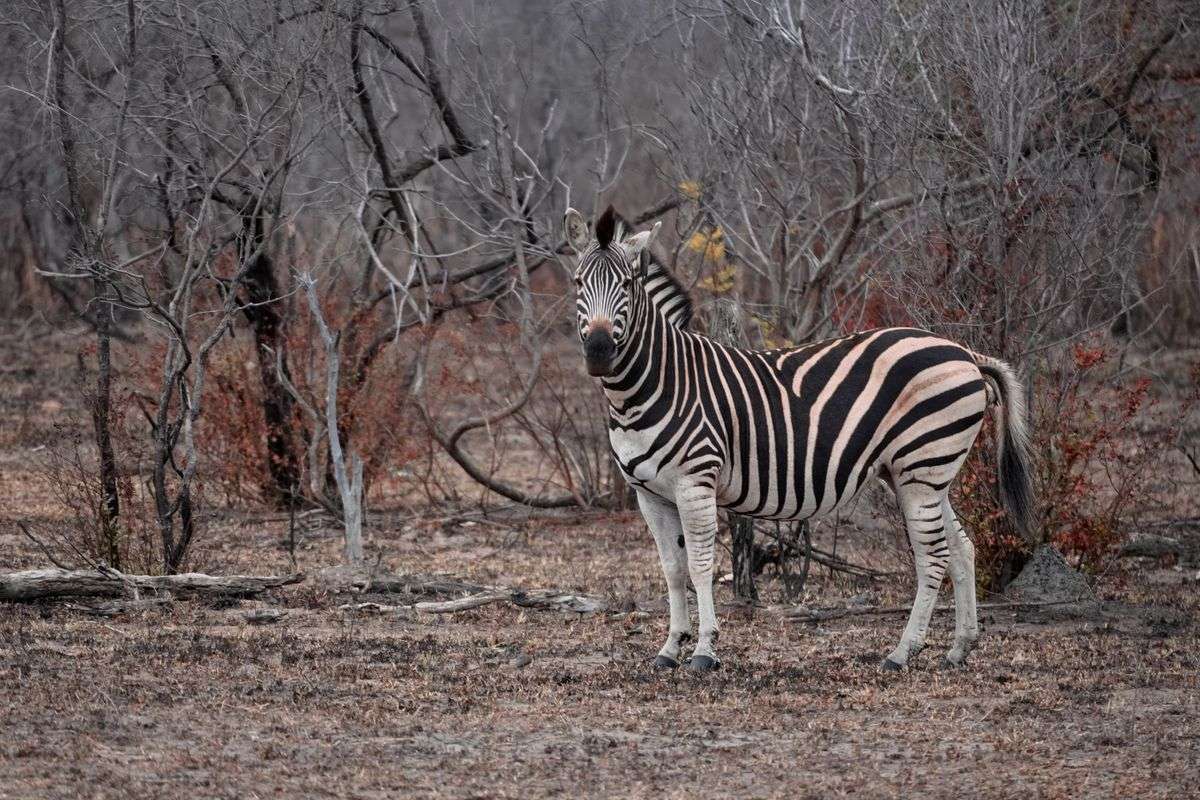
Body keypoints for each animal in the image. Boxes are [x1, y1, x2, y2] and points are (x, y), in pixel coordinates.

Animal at [565, 205, 1036, 673]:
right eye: (577, 282)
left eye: (627, 285)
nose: (599, 352)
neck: (654, 385)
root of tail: (965, 352)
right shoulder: (649, 493)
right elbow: (672, 570)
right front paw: (669, 649)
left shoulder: (694, 482)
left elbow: (699, 567)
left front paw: (703, 650)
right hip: (921, 473)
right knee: (962, 548)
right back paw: (960, 646)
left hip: (923, 466)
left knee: (933, 556)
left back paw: (902, 652)